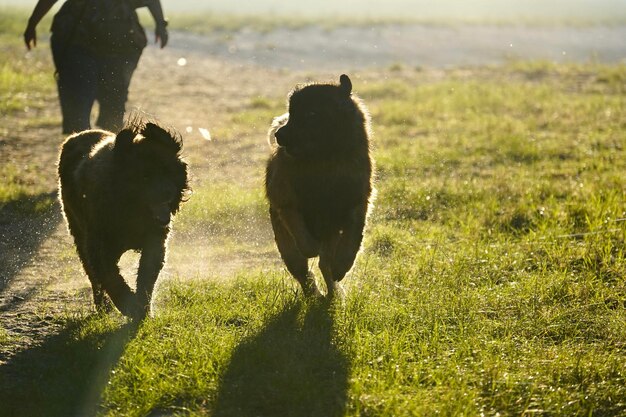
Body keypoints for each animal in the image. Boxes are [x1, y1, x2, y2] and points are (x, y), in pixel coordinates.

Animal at [58, 117, 188, 318]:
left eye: (168, 171)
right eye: (144, 176)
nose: (168, 192)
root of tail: (76, 136)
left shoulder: (155, 241)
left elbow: (146, 275)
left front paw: (143, 307)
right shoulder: (98, 246)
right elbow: (111, 278)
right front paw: (129, 305)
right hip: (79, 234)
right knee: (93, 276)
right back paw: (102, 306)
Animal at [262, 75, 370, 296]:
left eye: (312, 114)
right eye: (292, 113)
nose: (279, 135)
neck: (323, 160)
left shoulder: (357, 202)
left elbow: (353, 237)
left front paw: (343, 265)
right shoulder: (286, 202)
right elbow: (303, 238)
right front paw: (311, 247)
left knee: (324, 265)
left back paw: (335, 294)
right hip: (285, 240)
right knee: (302, 270)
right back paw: (315, 293)